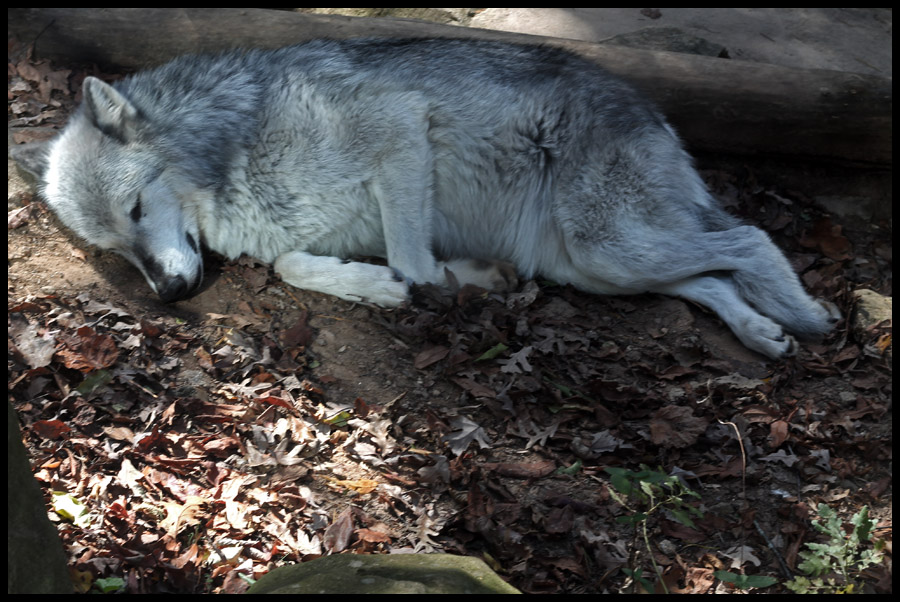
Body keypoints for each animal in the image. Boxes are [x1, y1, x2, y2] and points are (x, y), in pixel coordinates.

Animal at [15, 38, 839, 358]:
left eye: (135, 210)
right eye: (114, 249)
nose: (168, 295)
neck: (236, 144)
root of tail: (649, 105)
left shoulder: (404, 132)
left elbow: (412, 262)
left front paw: (420, 286)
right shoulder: (295, 240)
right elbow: (295, 268)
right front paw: (440, 280)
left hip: (608, 246)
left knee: (748, 241)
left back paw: (801, 316)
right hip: (595, 266)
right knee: (711, 278)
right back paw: (761, 332)